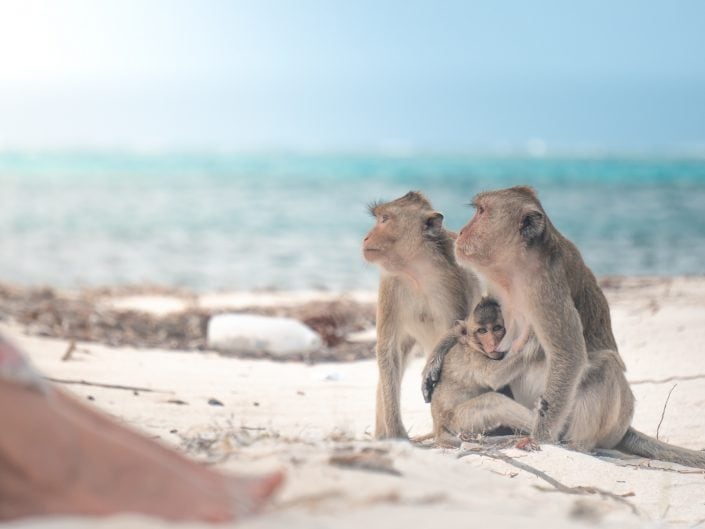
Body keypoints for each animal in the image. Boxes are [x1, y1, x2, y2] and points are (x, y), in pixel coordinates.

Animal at [360, 190, 482, 438]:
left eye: (384, 219)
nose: (366, 238)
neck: (415, 269)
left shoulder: (454, 283)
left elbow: (458, 336)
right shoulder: (389, 284)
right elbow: (388, 351)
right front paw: (396, 432)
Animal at [424, 296, 532, 446]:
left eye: (497, 328)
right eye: (482, 331)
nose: (493, 343)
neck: (473, 346)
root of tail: (438, 426)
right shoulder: (473, 358)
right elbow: (493, 376)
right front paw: (532, 336)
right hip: (459, 421)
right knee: (493, 401)